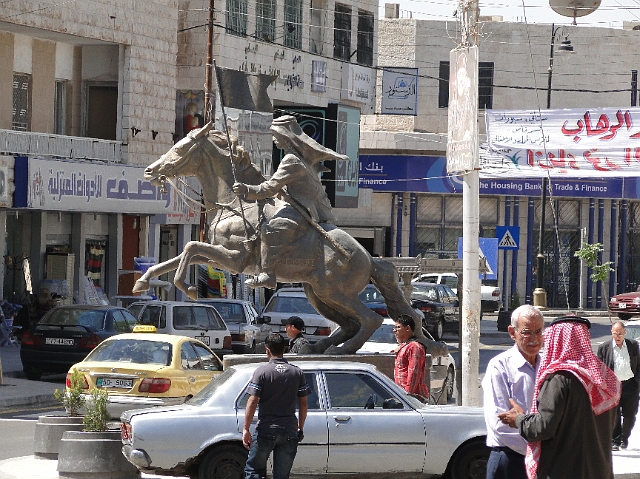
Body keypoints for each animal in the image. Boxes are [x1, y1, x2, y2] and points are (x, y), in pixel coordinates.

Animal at [132, 124, 438, 356]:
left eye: (181, 148)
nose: (149, 171)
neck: (234, 204)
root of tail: (370, 258)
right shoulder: (221, 254)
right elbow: (178, 256)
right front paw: (142, 281)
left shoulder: (234, 259)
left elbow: (189, 247)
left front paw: (188, 287)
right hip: (317, 293)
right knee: (350, 324)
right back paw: (317, 348)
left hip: (333, 292)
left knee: (370, 319)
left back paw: (336, 350)